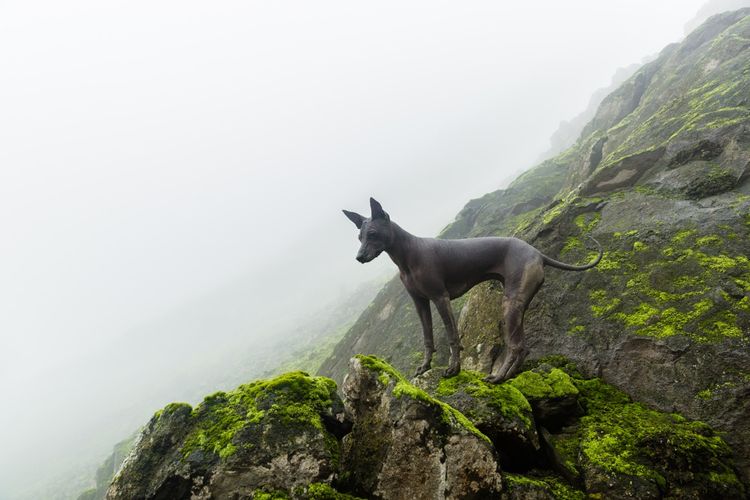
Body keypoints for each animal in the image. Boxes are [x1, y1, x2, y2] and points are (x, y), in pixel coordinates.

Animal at [344, 197, 604, 380]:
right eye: (359, 237)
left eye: (373, 234)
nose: (358, 257)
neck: (408, 254)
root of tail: (537, 253)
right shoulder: (421, 303)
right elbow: (428, 338)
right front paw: (425, 366)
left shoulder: (441, 298)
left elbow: (452, 336)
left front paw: (453, 369)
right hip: (517, 306)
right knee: (523, 347)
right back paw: (507, 376)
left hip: (510, 304)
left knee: (516, 347)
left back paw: (499, 378)